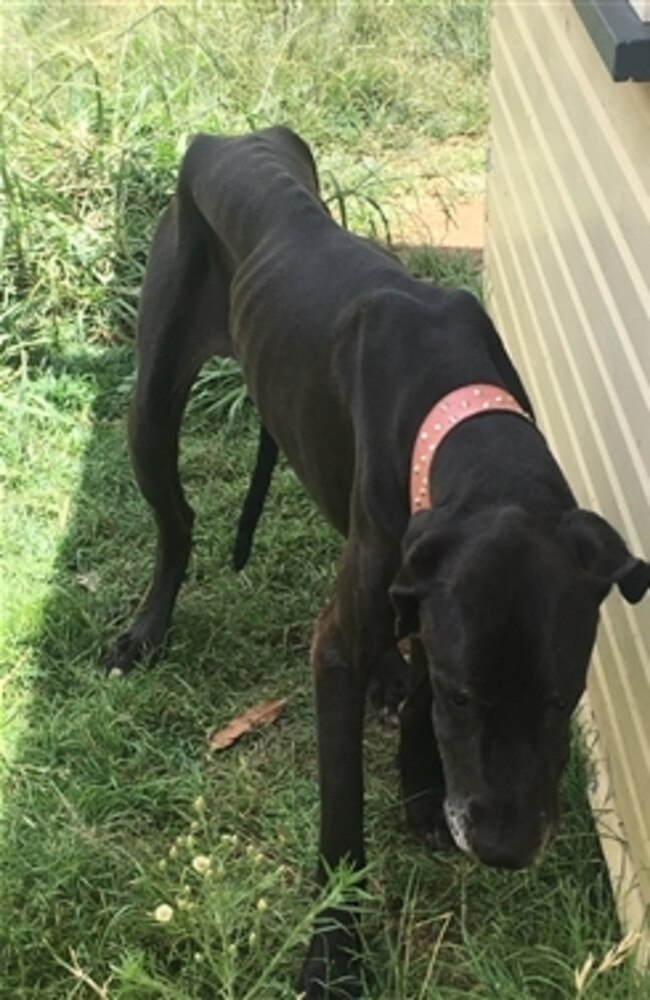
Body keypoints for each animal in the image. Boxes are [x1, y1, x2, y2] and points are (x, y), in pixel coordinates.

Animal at [107, 129, 648, 996]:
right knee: (178, 521)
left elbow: (420, 659)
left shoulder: (429, 587)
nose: (503, 849)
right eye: (466, 698)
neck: (463, 419)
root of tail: (234, 137)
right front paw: (333, 955)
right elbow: (342, 814)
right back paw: (145, 631)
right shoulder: (338, 649)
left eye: (565, 698)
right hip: (151, 403)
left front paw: (422, 782)